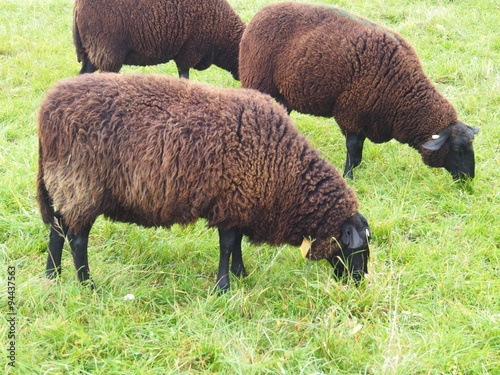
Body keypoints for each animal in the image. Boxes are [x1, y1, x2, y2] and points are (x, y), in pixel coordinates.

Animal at [36, 72, 372, 290]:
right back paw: (87, 285)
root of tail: (47, 109)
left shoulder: (240, 202)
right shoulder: (233, 199)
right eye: (355, 249)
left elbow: (236, 242)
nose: (358, 284)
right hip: (82, 185)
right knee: (77, 239)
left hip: (63, 184)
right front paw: (223, 286)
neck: (284, 171)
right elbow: (228, 244)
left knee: (57, 229)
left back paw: (52, 277)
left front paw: (240, 273)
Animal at [240, 1, 478, 181]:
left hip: (282, 94)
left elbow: (358, 150)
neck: (401, 93)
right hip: (258, 81)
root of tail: (262, 12)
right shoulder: (351, 113)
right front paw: (349, 177)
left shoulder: (365, 115)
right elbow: (353, 150)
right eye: (457, 149)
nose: (469, 179)